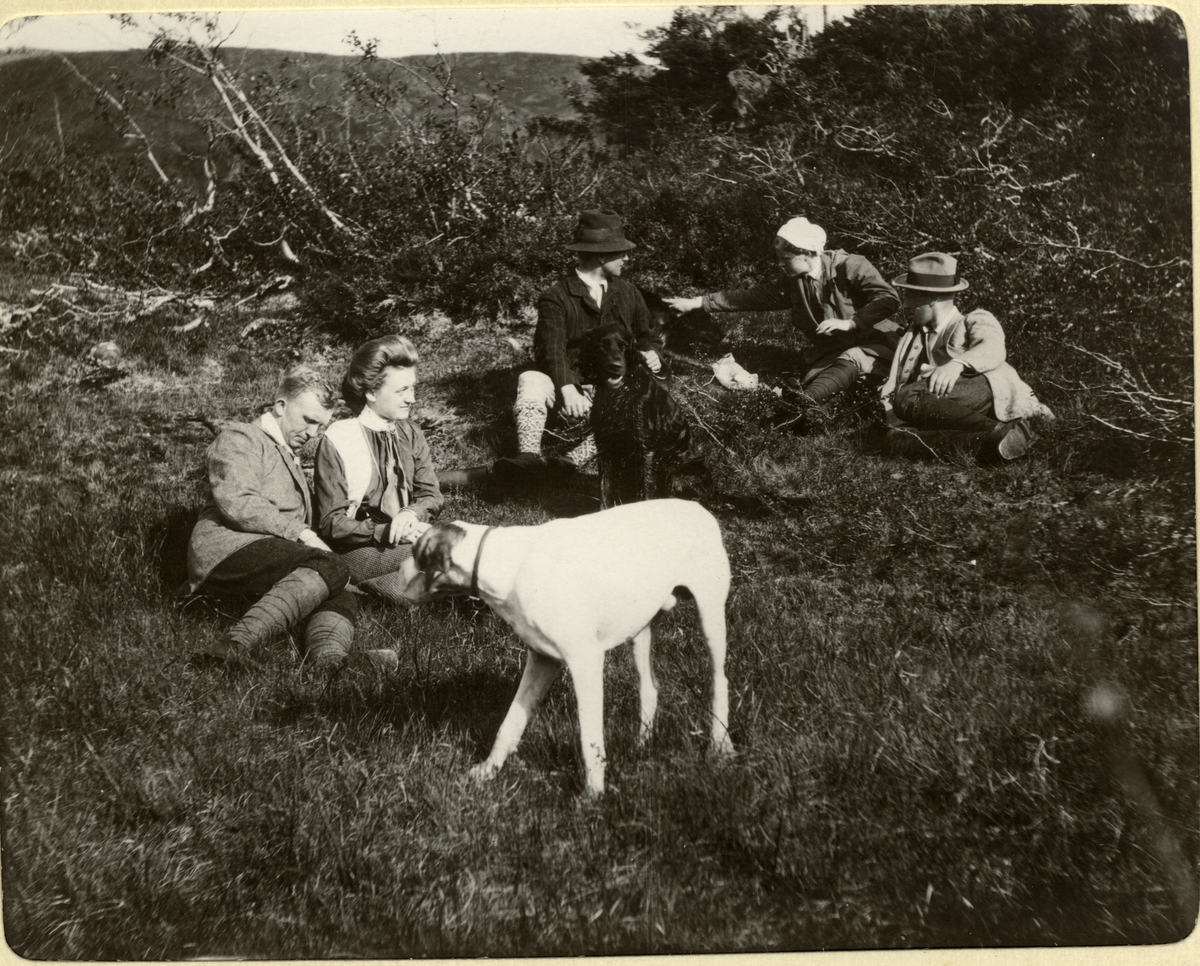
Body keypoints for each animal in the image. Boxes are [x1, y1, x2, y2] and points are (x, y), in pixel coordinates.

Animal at [408, 494, 734, 796]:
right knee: (650, 687)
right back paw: (641, 746)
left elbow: (590, 739)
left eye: (416, 553)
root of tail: (696, 506)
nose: (400, 566)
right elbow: (509, 724)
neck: (508, 564)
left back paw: (720, 747)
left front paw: (594, 795)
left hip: (710, 615)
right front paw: (489, 770)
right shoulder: (542, 660)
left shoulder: (585, 662)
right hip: (641, 630)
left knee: (720, 682)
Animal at [573, 321, 705, 508]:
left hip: (676, 474)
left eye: (623, 346)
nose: (615, 366)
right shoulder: (605, 445)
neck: (620, 393)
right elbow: (605, 488)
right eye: (602, 345)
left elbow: (647, 489)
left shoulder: (646, 449)